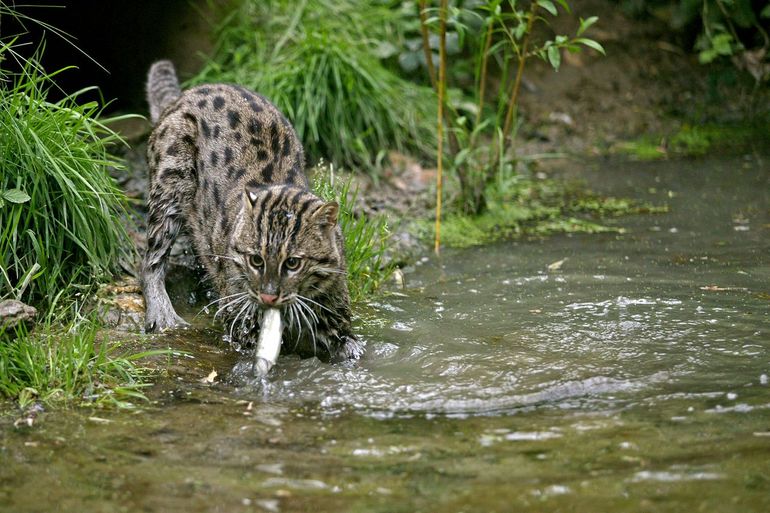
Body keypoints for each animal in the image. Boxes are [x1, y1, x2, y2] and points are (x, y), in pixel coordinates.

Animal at [141, 61, 364, 360]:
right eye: (255, 260)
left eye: (293, 263)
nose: (268, 296)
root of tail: (182, 96)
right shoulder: (239, 313)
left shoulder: (333, 304)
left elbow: (349, 343)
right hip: (171, 179)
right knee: (152, 258)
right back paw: (162, 313)